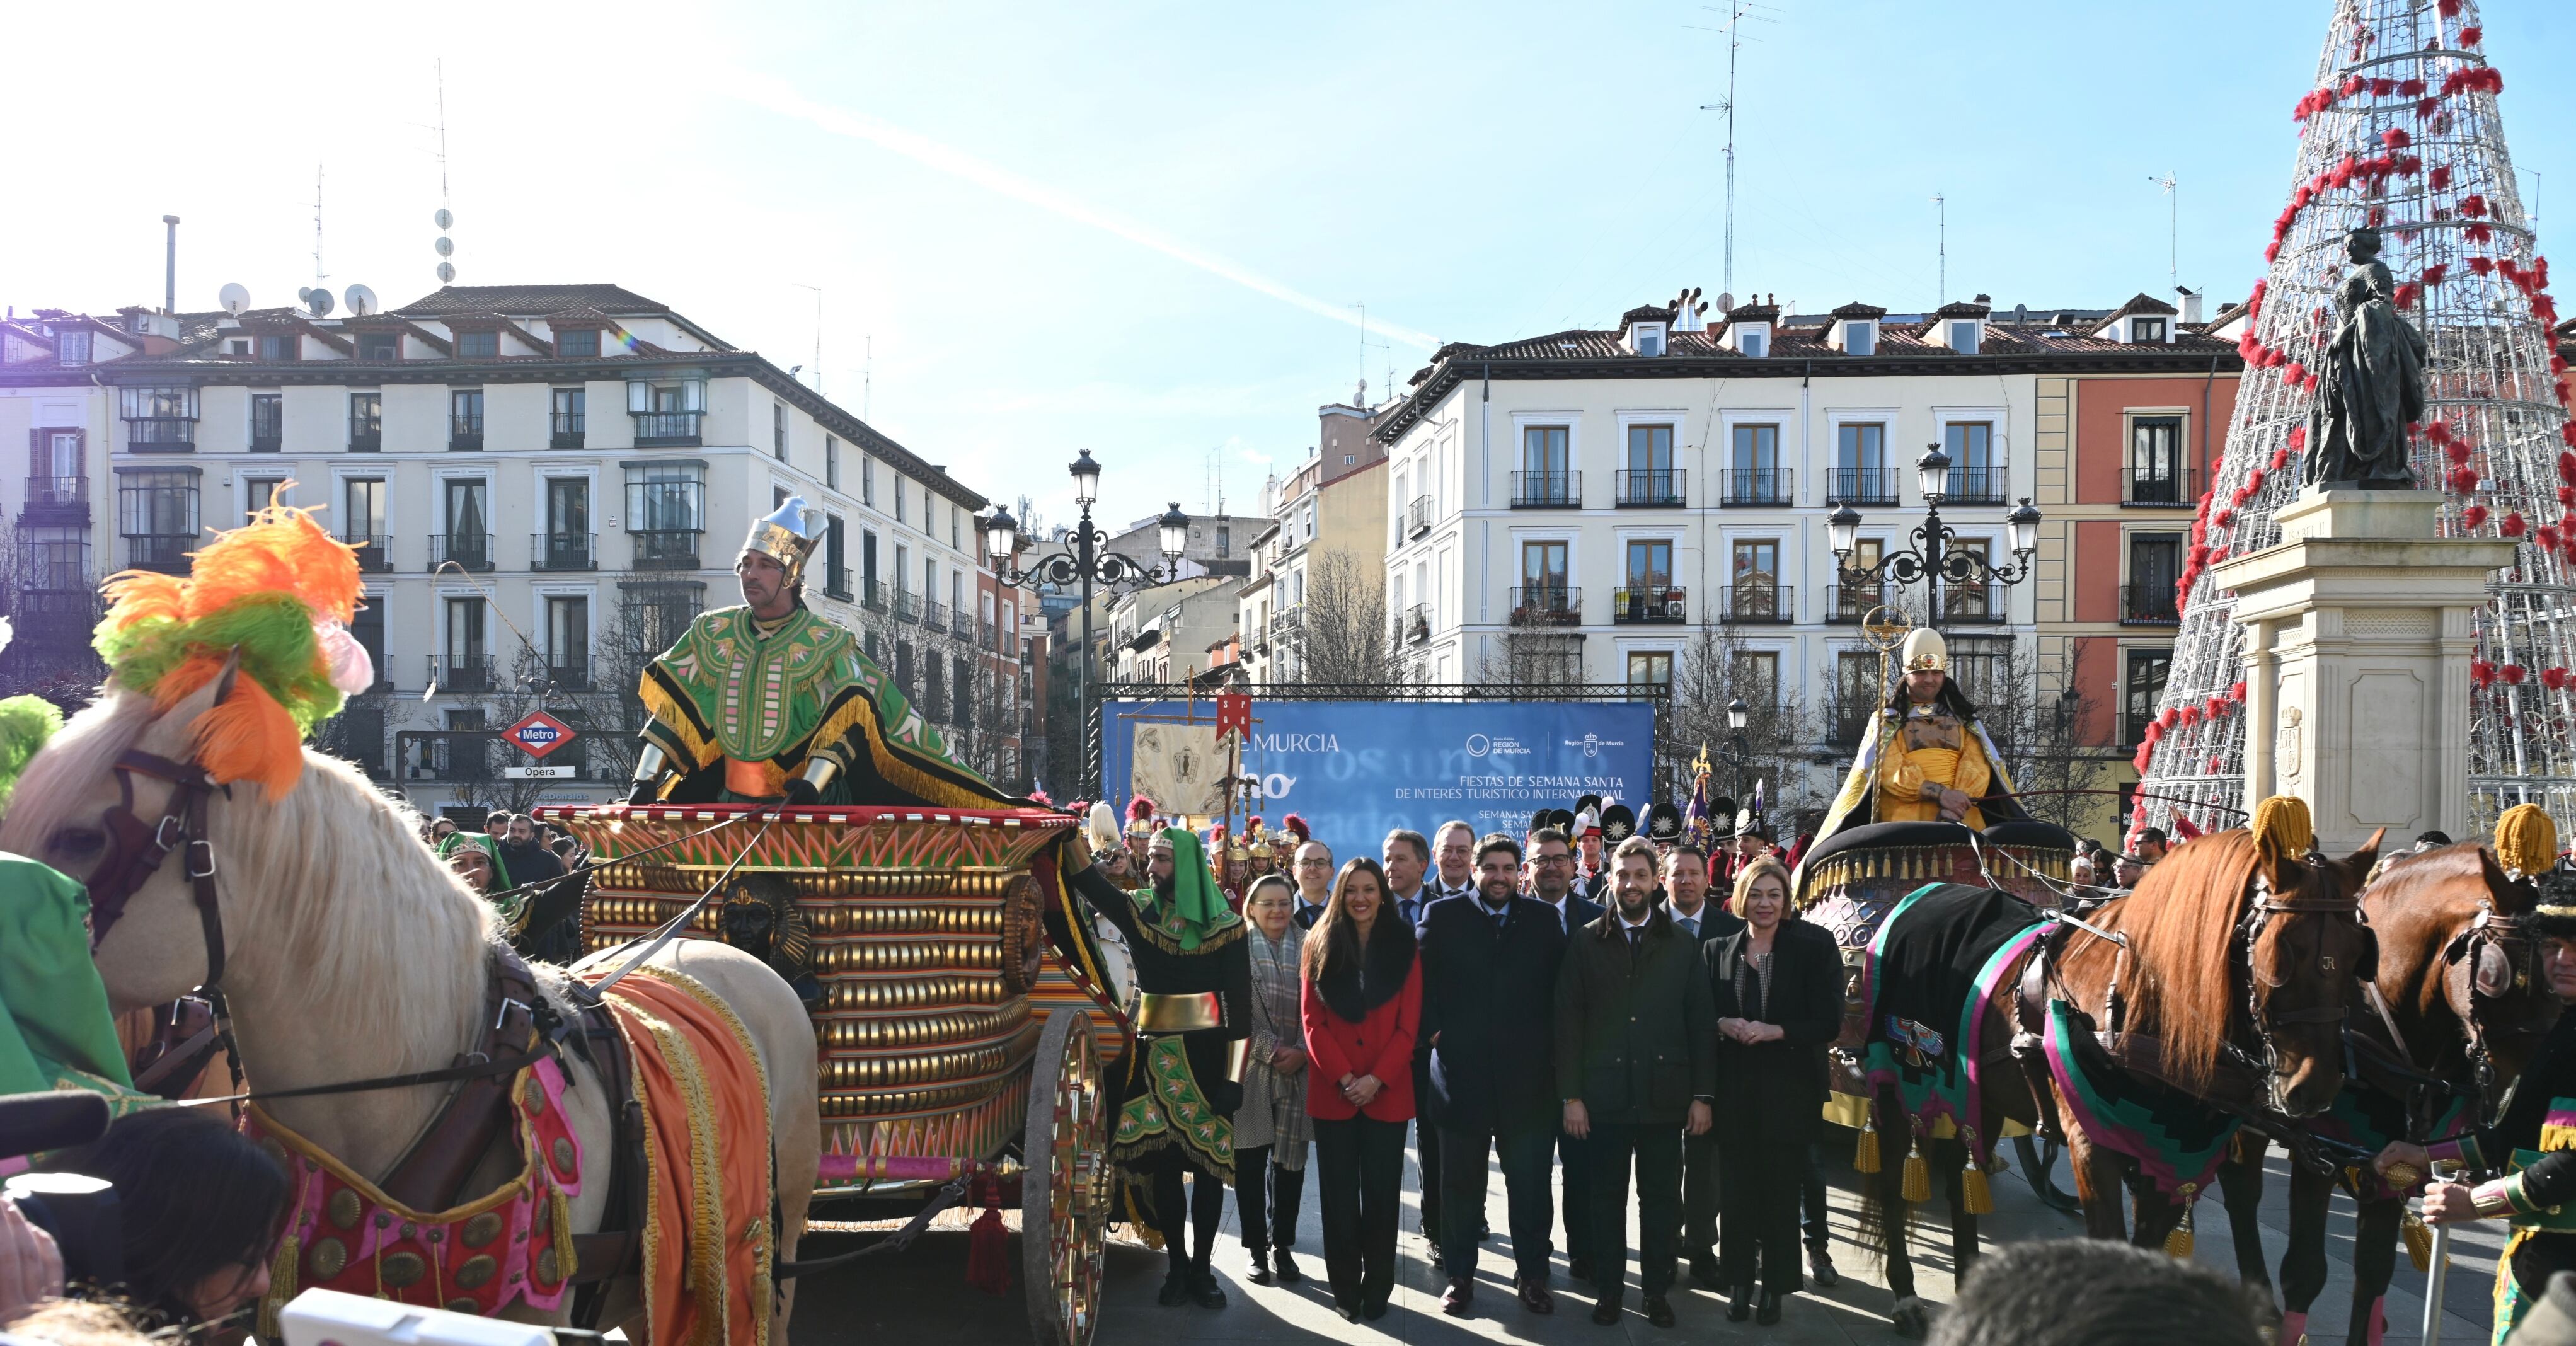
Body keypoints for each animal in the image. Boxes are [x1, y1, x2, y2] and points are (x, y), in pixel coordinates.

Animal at [1854, 834, 2369, 1338]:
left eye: (2357, 956)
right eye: (2279, 954)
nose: (2314, 1089)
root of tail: (1925, 892)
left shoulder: (2170, 1154)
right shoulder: (2092, 1147)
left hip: (1977, 1095)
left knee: (1962, 1177)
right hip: (1897, 1079)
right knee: (1892, 1177)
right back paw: (1904, 1292)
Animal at [2215, 844, 2555, 1346]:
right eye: (2494, 974)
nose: (2534, 1093)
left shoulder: (2393, 1158)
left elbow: (2374, 1271)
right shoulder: (2317, 1153)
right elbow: (2305, 1272)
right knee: (2241, 1191)